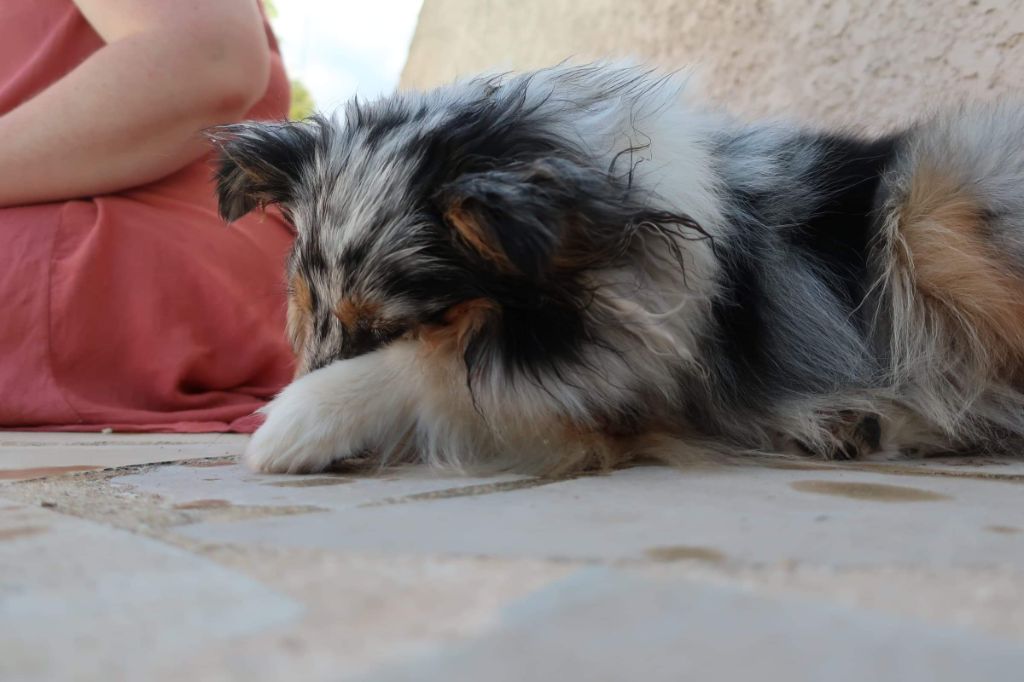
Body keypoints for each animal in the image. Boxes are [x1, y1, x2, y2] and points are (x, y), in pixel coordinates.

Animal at [211, 62, 1024, 473]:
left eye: (391, 324)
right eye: (302, 307)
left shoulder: (606, 387)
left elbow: (434, 369)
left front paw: (296, 424)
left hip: (931, 203)